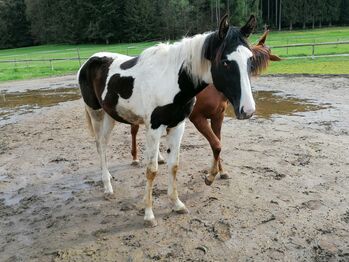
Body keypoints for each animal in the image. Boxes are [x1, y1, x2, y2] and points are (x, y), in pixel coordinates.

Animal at [77, 14, 256, 227]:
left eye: (251, 59)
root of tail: (89, 61)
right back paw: (107, 187)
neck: (171, 79)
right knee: (100, 145)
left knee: (103, 143)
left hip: (110, 115)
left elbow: (174, 165)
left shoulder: (177, 125)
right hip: (96, 113)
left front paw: (177, 204)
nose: (248, 110)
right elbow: (151, 170)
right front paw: (149, 215)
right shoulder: (154, 127)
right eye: (226, 62)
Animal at [130, 30, 280, 184]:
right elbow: (215, 144)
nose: (247, 108)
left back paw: (159, 158)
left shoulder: (218, 116)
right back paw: (135, 158)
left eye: (251, 63)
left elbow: (217, 143)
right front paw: (210, 175)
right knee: (134, 130)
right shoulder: (198, 118)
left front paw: (221, 172)